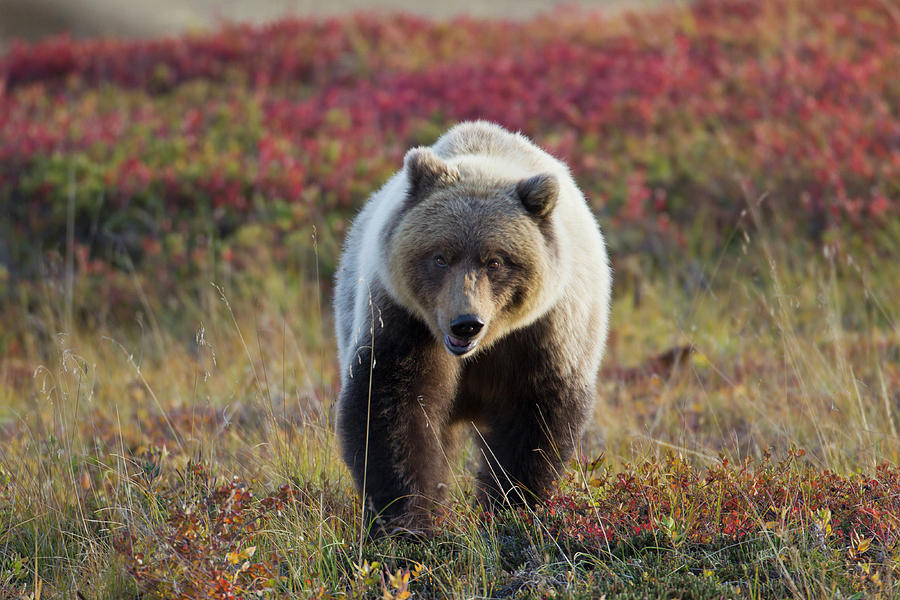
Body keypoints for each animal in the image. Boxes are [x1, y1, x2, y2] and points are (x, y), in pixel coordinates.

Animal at [332, 122, 612, 536]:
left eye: (495, 260)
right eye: (439, 257)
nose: (465, 323)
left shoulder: (545, 335)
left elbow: (535, 419)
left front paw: (510, 505)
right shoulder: (403, 321)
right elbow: (391, 409)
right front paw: (406, 520)